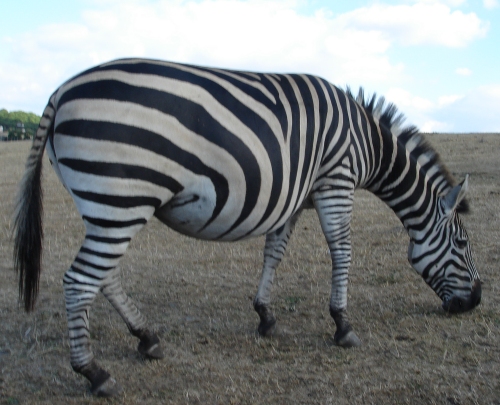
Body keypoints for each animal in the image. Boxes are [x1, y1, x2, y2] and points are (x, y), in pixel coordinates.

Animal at [12, 58, 480, 396]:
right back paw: (94, 372)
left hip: (107, 203)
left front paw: (266, 315)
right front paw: (343, 324)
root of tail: (61, 90)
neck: (366, 142)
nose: (475, 302)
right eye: (461, 243)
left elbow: (275, 250)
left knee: (102, 275)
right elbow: (342, 250)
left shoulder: (296, 196)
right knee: (79, 281)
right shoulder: (336, 180)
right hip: (121, 197)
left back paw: (146, 337)